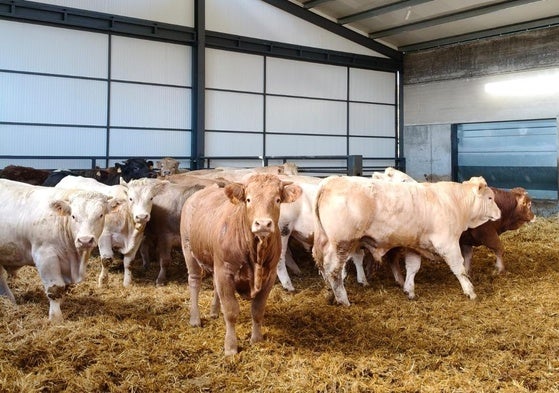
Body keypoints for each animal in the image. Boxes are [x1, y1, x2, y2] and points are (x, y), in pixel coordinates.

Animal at [0, 179, 121, 320]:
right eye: (73, 216)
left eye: (100, 215)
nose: (85, 240)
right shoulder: (45, 256)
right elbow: (55, 288)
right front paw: (55, 318)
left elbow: (64, 287)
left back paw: (9, 299)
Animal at [180, 173, 302, 354]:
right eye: (248, 199)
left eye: (278, 199)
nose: (263, 224)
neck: (255, 252)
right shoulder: (225, 271)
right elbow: (231, 311)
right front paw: (231, 346)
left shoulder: (269, 275)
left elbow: (258, 310)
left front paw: (256, 339)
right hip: (189, 250)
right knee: (194, 282)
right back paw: (195, 319)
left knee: (214, 285)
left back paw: (214, 311)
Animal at [312, 176, 500, 304]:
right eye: (490, 198)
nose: (499, 213)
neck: (455, 202)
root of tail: (331, 180)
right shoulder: (447, 244)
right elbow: (459, 268)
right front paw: (470, 291)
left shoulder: (414, 245)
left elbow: (412, 267)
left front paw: (409, 290)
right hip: (342, 243)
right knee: (334, 271)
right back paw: (343, 300)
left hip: (325, 242)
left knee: (323, 267)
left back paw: (330, 293)